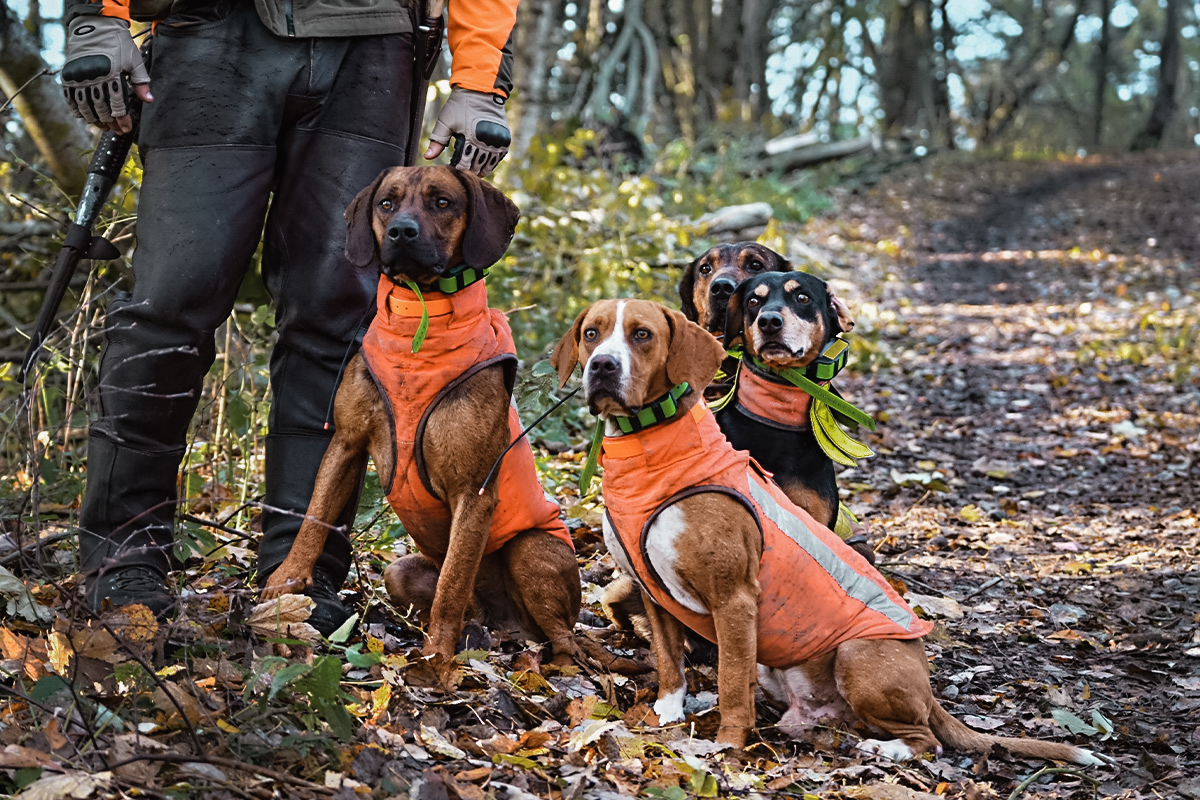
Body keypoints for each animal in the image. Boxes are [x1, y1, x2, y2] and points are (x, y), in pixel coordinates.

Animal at [262, 164, 580, 671]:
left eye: (442, 203)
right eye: (386, 204)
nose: (401, 232)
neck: (419, 316)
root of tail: (506, 626)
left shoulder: (474, 493)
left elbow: (452, 584)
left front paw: (435, 659)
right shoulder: (346, 443)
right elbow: (313, 518)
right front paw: (284, 586)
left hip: (531, 551)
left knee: (568, 640)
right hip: (401, 570)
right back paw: (475, 634)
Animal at [549, 297, 1099, 767]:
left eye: (641, 334)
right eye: (592, 333)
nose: (603, 366)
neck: (651, 447)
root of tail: (928, 688)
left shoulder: (734, 600)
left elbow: (732, 682)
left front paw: (727, 745)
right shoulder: (654, 592)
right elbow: (669, 663)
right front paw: (667, 712)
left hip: (859, 656)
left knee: (927, 741)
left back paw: (887, 750)